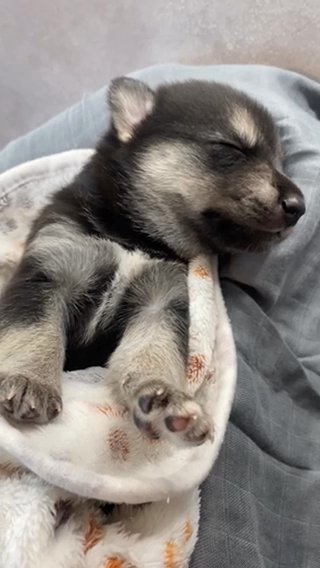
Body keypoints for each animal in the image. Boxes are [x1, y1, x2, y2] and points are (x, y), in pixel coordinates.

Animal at [0, 77, 304, 446]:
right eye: (230, 148)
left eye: (280, 163)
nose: (299, 206)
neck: (135, 237)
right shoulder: (49, 272)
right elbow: (35, 332)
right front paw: (31, 380)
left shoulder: (161, 302)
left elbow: (152, 353)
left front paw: (163, 397)